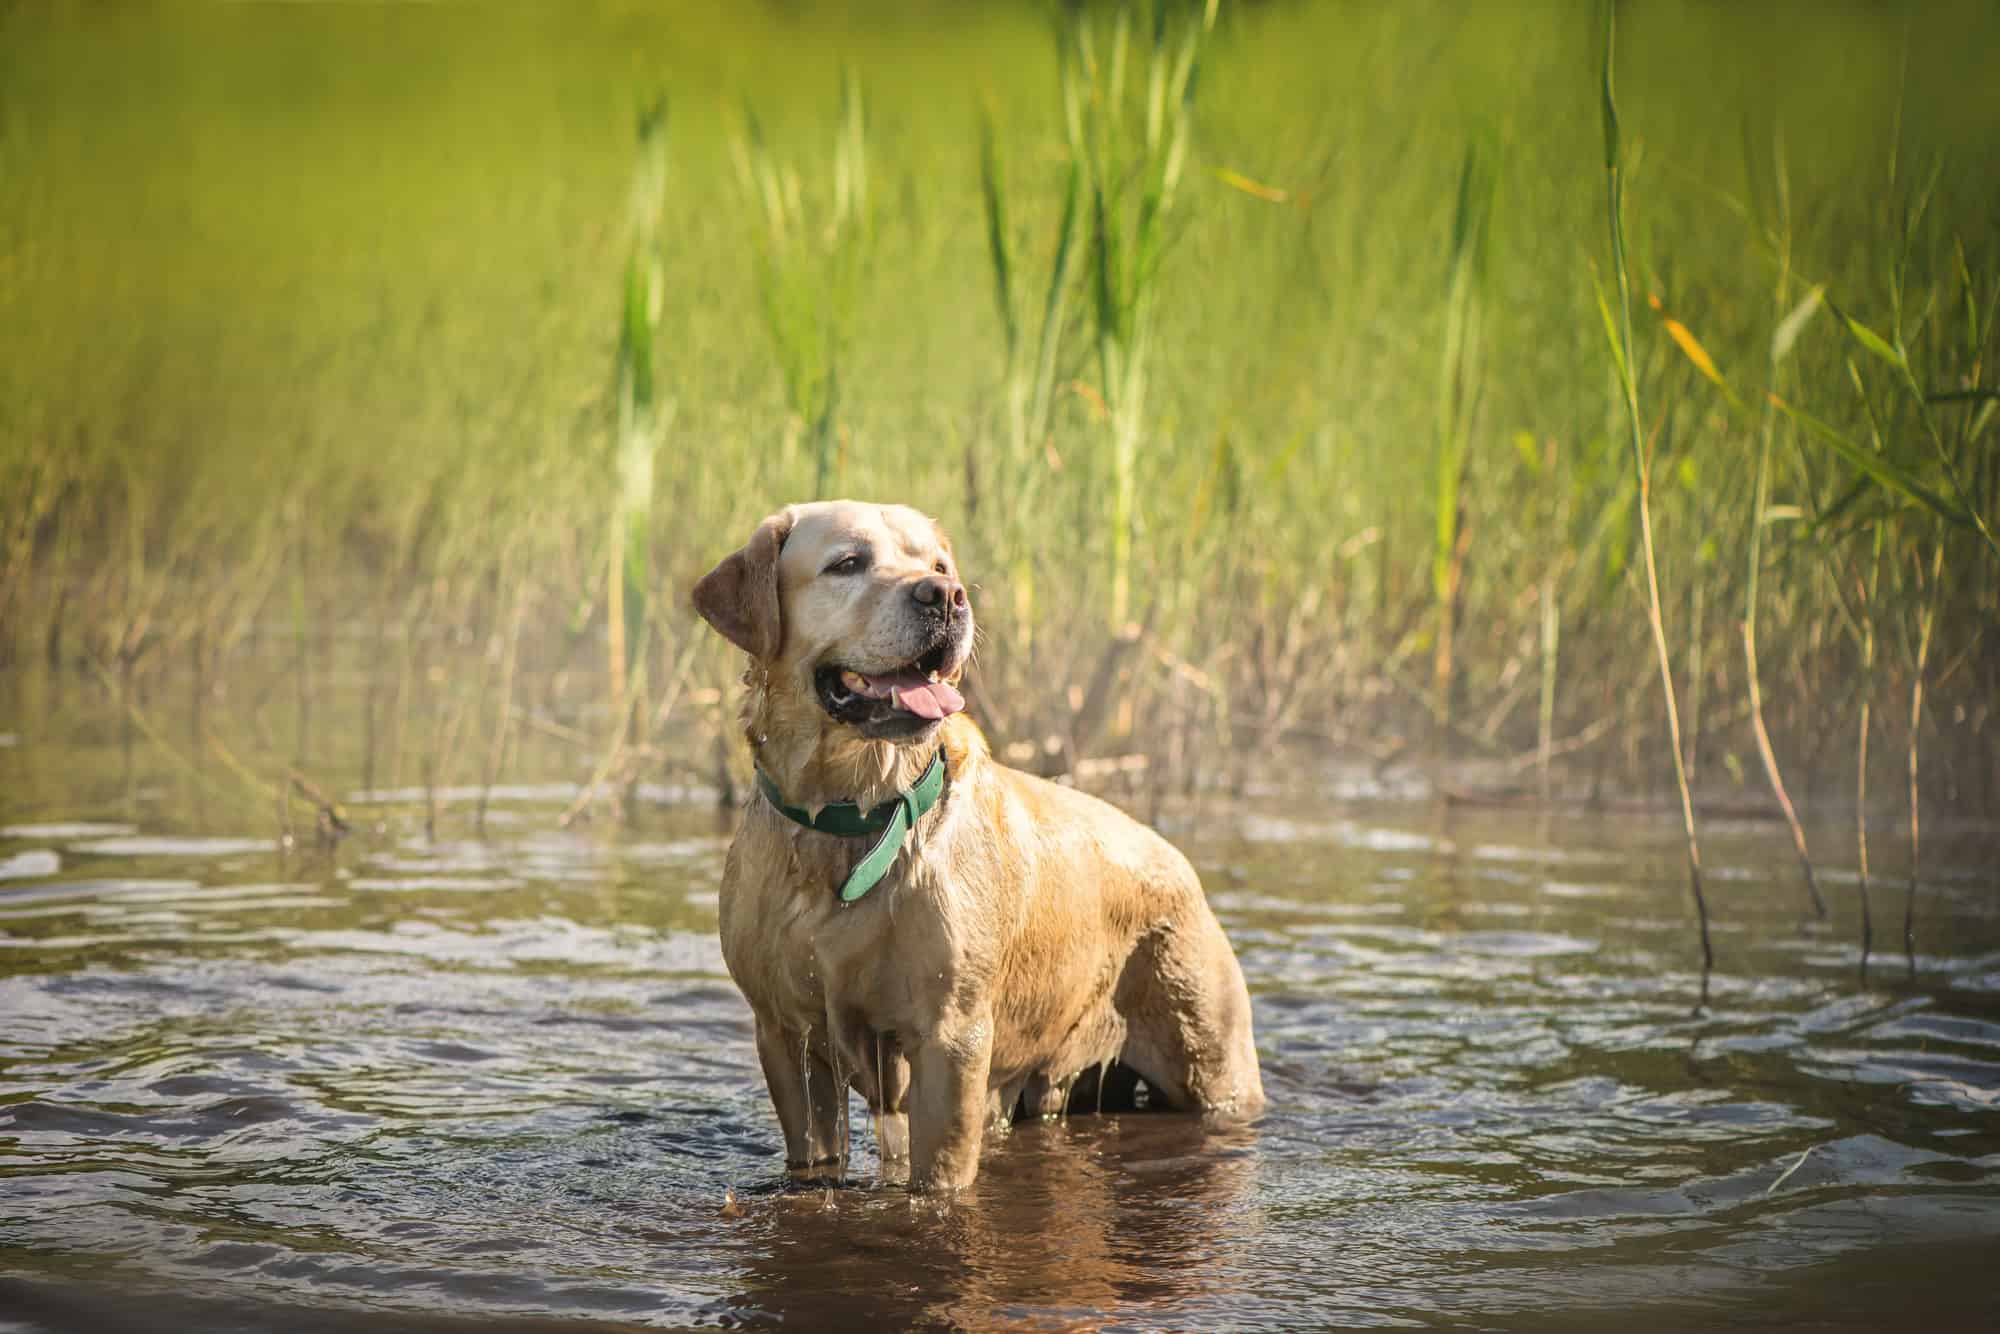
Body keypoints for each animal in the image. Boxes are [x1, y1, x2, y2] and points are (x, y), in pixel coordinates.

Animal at [696, 500, 1256, 1192]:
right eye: (847, 563)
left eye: (939, 567)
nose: (945, 596)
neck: (855, 814)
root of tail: (1181, 863)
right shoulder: (785, 1036)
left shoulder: (952, 1041)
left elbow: (940, 1175)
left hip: (1214, 1063)